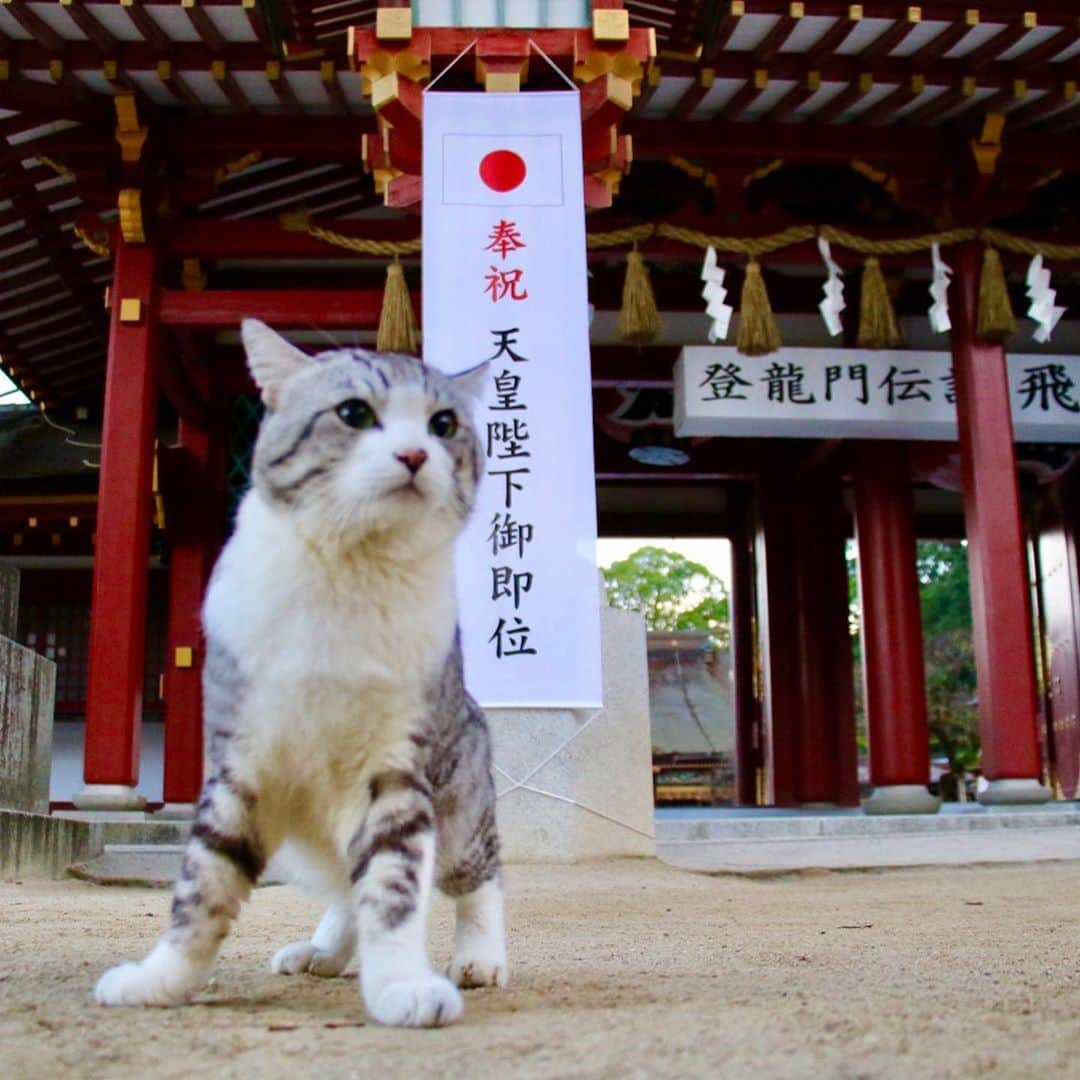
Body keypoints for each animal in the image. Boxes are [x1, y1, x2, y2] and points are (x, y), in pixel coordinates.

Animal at [95, 319, 507, 1028]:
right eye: (354, 413)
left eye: (444, 423)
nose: (415, 455)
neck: (349, 568)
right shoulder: (239, 764)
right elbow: (202, 888)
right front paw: (161, 982)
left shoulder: (396, 770)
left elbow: (393, 889)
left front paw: (402, 986)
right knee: (346, 889)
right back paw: (322, 952)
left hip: (458, 807)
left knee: (475, 878)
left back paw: (479, 958)